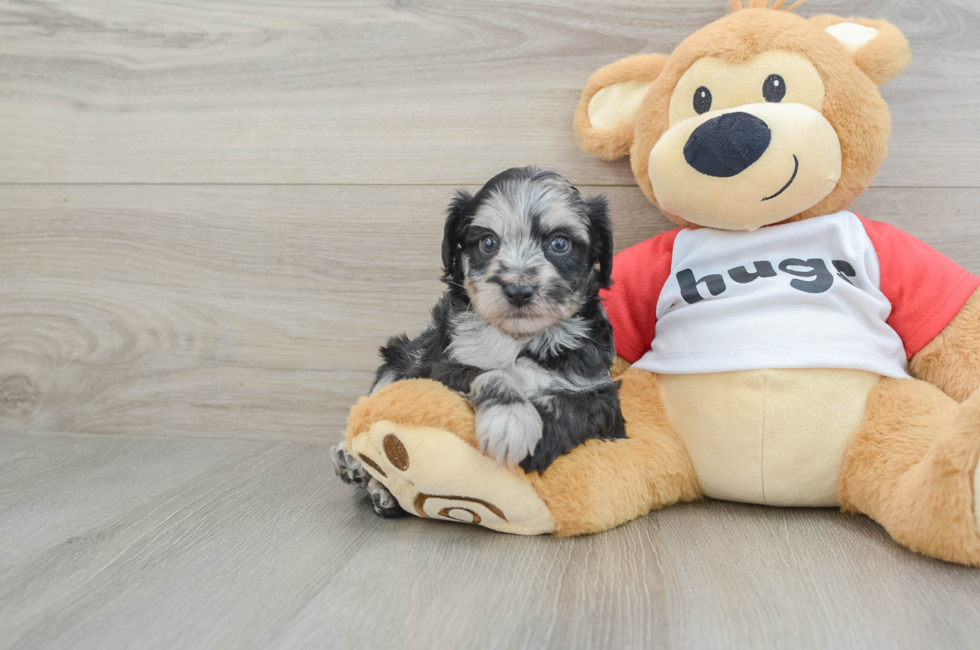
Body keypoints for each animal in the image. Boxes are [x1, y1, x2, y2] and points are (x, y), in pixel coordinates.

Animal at [336, 168, 628, 516]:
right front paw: (510, 420)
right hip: (400, 358)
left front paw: (537, 442)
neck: (520, 340)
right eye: (488, 243)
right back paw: (360, 470)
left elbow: (566, 406)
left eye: (560, 243)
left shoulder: (599, 393)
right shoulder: (442, 368)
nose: (518, 290)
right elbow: (492, 372)